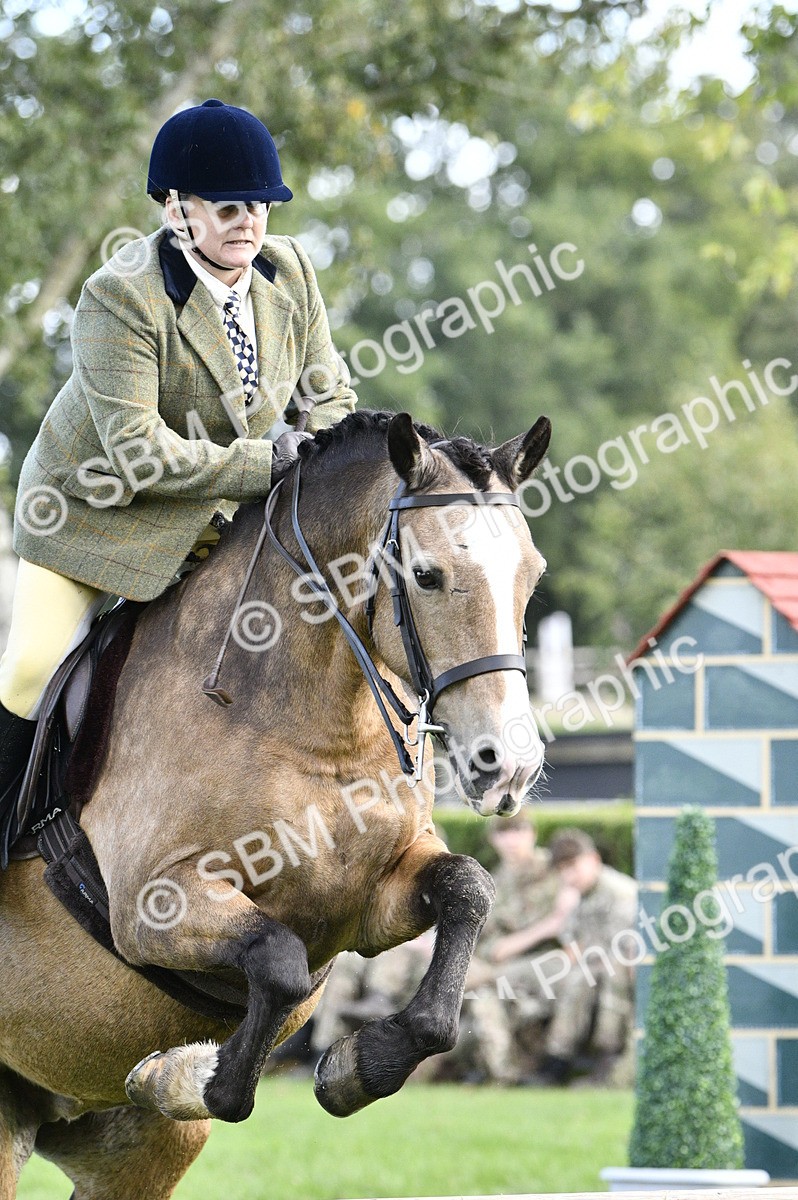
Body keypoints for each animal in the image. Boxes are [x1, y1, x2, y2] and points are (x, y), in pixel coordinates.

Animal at [0, 409, 551, 1199]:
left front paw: (358, 1067)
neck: (311, 725)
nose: (509, 767)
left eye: (532, 576)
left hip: (125, 1150)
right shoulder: (152, 906)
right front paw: (183, 1073)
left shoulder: (371, 905)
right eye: (428, 575)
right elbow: (279, 964)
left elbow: (468, 892)